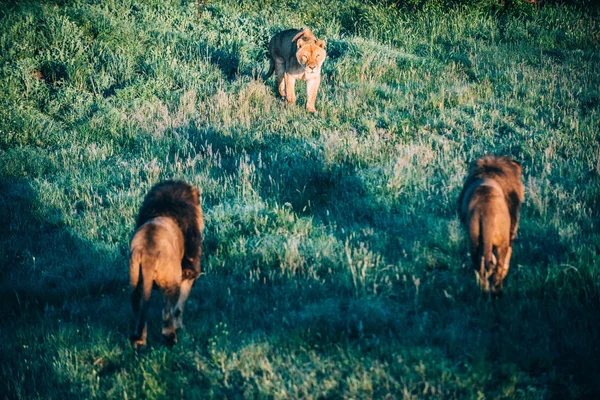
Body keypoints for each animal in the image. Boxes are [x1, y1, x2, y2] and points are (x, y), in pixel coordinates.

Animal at [129, 180, 204, 348]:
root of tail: (148, 251)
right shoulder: (188, 272)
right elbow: (179, 308)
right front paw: (180, 328)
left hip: (135, 281)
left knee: (137, 310)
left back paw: (139, 342)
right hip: (172, 281)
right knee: (167, 311)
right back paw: (171, 339)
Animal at [460, 155, 524, 296]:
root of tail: (486, 210)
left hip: (474, 241)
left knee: (480, 267)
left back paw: (484, 292)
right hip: (502, 241)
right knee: (499, 268)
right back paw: (497, 292)